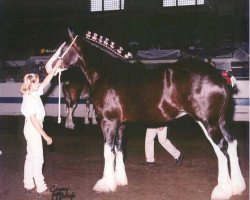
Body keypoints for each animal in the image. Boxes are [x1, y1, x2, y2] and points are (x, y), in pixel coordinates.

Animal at [45, 30, 246, 200]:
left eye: (63, 48)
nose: (47, 67)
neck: (107, 73)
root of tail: (220, 76)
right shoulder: (121, 124)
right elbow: (119, 149)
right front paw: (120, 180)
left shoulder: (108, 122)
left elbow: (108, 151)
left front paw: (105, 184)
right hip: (221, 122)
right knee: (232, 144)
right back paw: (237, 187)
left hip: (208, 123)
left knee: (222, 149)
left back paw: (222, 190)